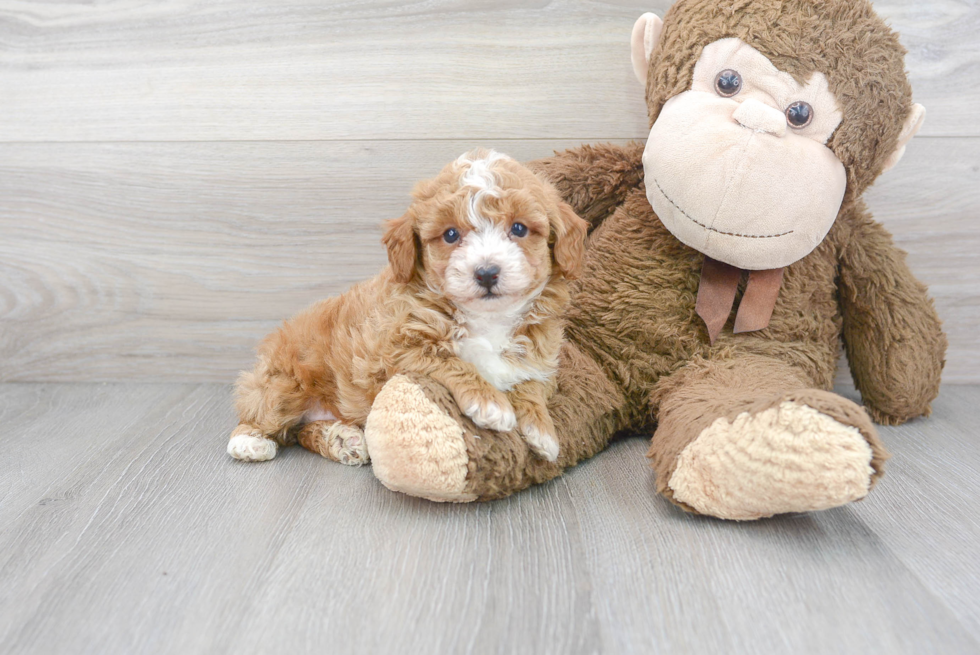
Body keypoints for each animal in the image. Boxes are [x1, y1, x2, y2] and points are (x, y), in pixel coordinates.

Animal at [226, 149, 584, 466]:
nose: (486, 272)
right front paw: (489, 402)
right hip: (284, 382)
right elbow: (451, 361)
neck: (487, 320)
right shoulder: (395, 351)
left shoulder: (539, 361)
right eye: (450, 235)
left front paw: (542, 430)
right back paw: (249, 442)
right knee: (263, 415)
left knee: (300, 432)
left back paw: (343, 440)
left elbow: (532, 386)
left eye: (519, 228)